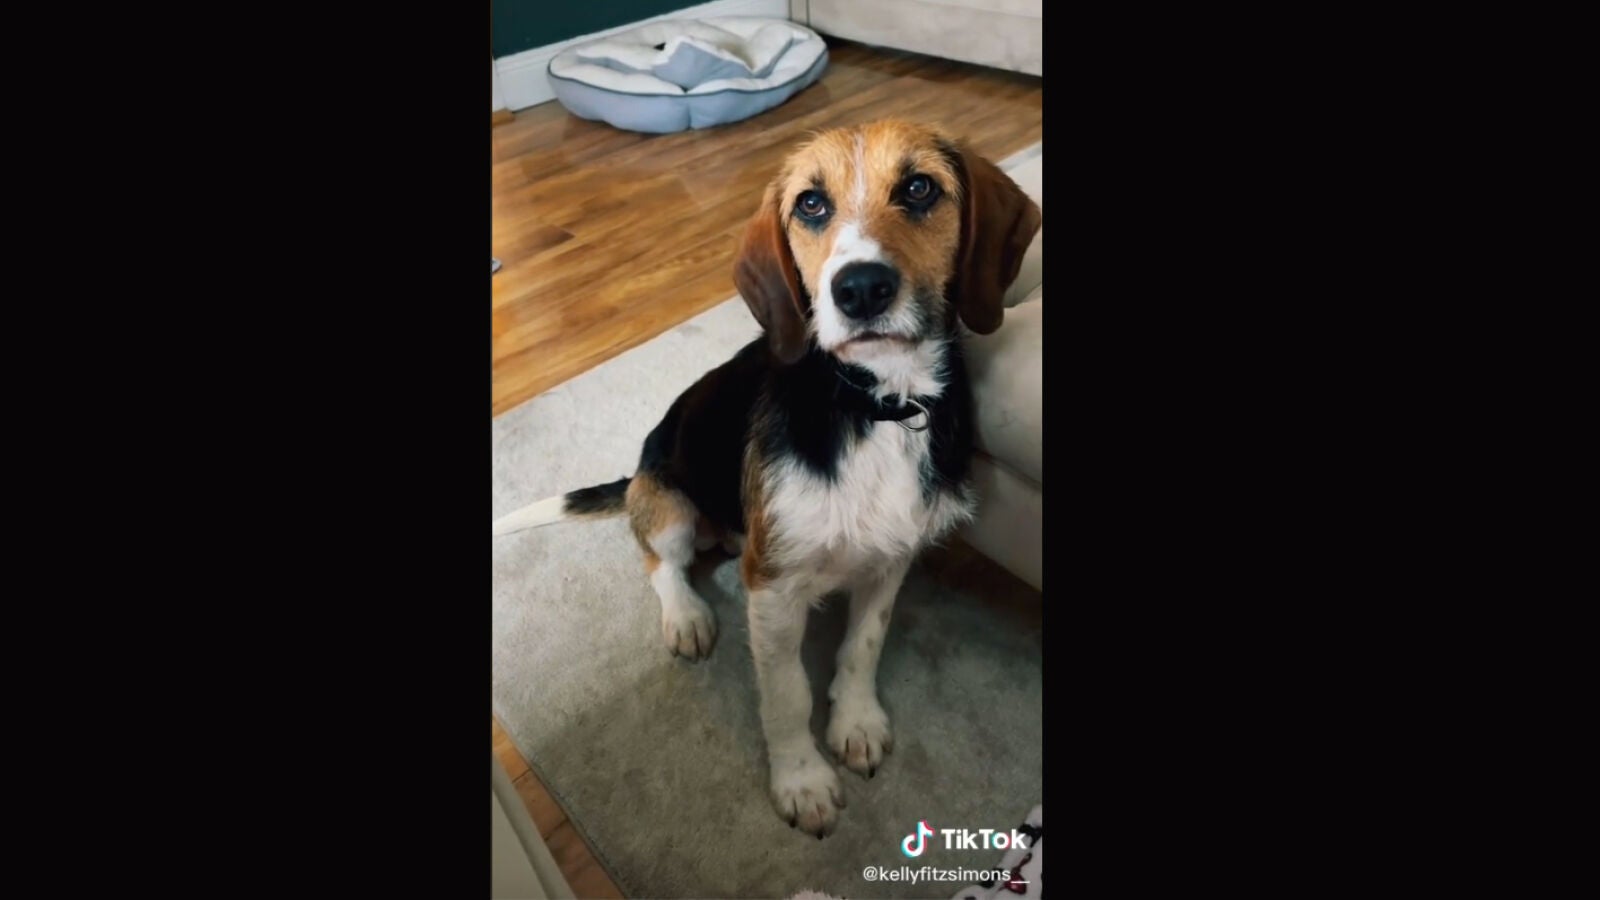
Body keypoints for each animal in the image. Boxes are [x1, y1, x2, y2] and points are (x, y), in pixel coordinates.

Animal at [493, 120, 1040, 837]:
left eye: (920, 188)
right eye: (810, 204)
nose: (860, 288)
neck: (876, 404)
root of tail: (637, 471)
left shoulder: (892, 557)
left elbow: (863, 645)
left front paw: (855, 721)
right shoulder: (773, 585)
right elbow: (786, 694)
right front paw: (802, 780)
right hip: (668, 500)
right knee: (658, 561)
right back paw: (687, 616)